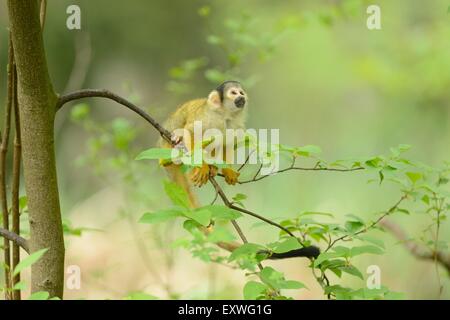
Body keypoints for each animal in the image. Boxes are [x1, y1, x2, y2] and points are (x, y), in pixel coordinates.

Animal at [160, 80, 248, 208]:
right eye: (233, 93)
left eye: (241, 92)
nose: (241, 97)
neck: (224, 115)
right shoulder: (207, 117)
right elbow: (191, 131)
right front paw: (201, 166)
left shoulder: (233, 124)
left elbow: (226, 143)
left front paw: (228, 170)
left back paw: (212, 167)